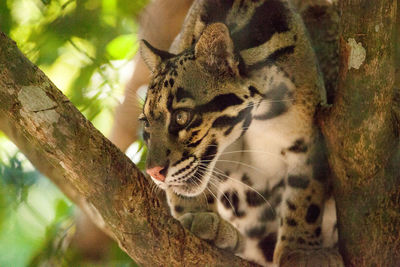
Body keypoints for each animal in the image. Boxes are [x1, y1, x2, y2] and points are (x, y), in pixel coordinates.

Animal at [139, 1, 342, 266]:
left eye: (181, 117)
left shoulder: (308, 141)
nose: (153, 172)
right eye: (146, 125)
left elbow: (305, 195)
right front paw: (198, 214)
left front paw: (300, 250)